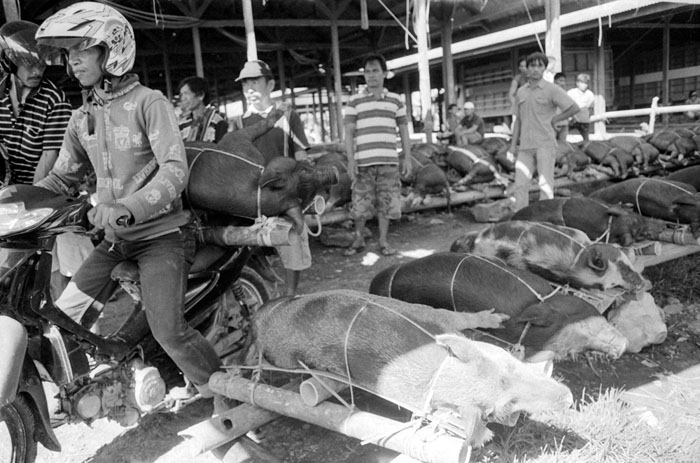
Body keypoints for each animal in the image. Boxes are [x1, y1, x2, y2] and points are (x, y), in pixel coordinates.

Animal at [252, 290, 576, 450]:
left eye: (508, 364)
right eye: (508, 403)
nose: (570, 398)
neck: (440, 371)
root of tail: (260, 315)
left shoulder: (437, 319)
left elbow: (458, 317)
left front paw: (499, 319)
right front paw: (484, 437)